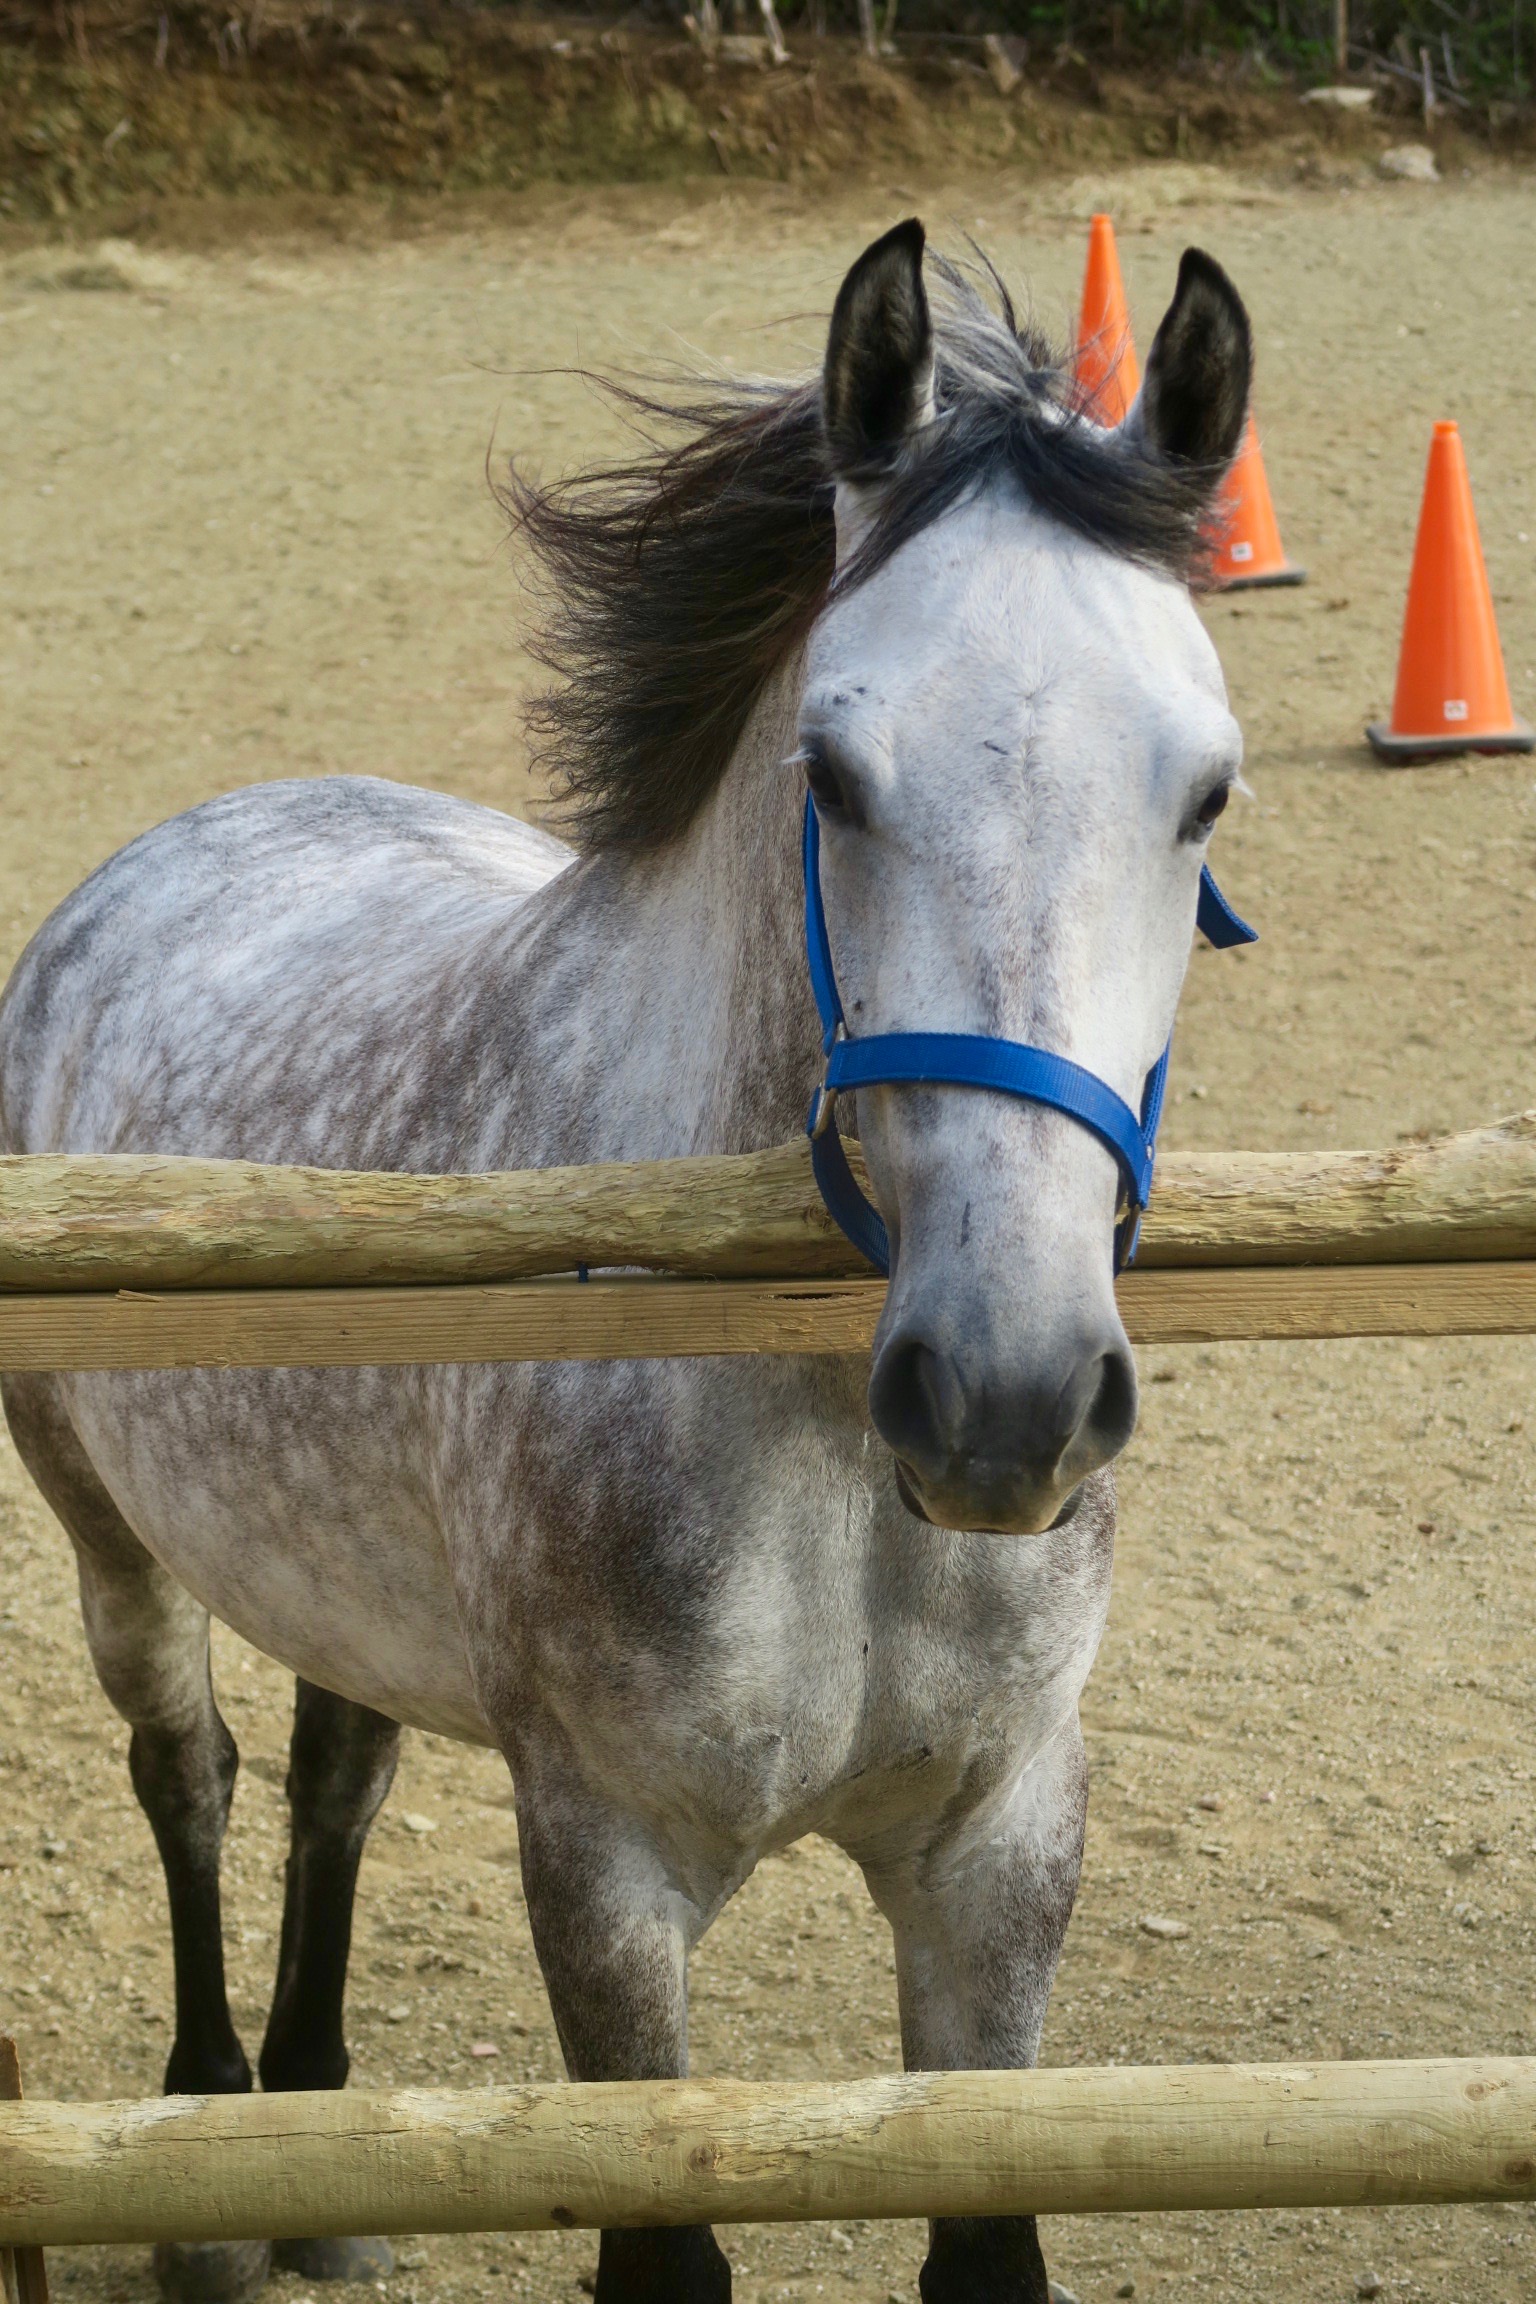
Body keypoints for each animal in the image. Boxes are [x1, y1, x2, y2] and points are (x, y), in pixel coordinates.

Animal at [0, 224, 1252, 2304]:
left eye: (1208, 791)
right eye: (833, 771)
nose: (1006, 1400)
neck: (815, 1428)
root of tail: (169, 851)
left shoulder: (998, 1852)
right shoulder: (607, 1869)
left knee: (333, 1772)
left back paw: (322, 2153)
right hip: (112, 1536)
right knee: (191, 1772)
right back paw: (209, 2162)